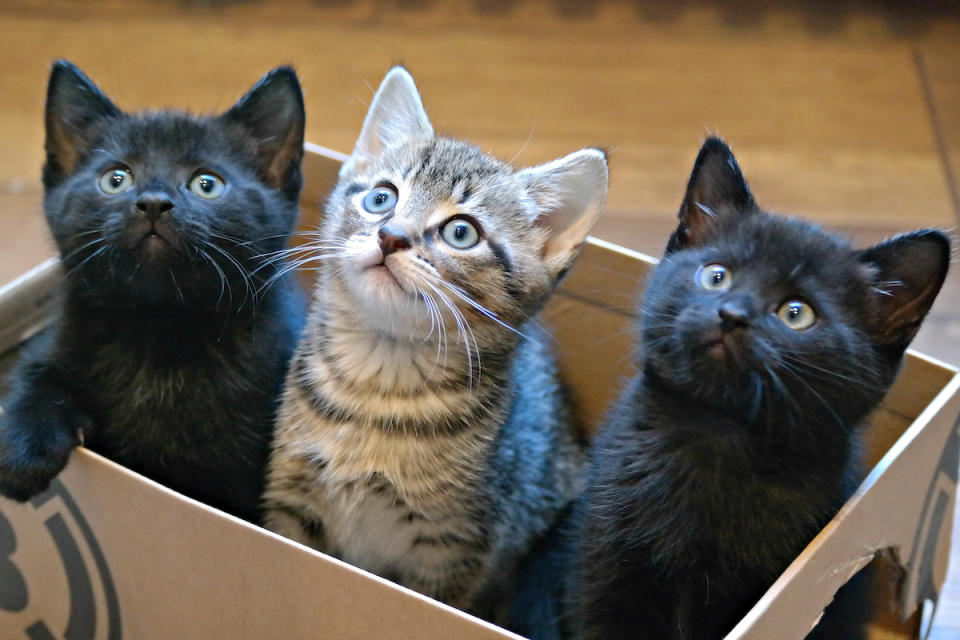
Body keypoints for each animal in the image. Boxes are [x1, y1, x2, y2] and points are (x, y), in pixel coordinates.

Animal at [0, 58, 306, 524]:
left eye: (206, 184)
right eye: (115, 179)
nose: (153, 202)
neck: (159, 329)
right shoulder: (54, 343)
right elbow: (34, 378)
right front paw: (21, 450)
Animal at [262, 67, 608, 616]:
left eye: (461, 232)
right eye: (381, 198)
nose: (391, 236)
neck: (378, 388)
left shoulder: (454, 552)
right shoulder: (290, 498)